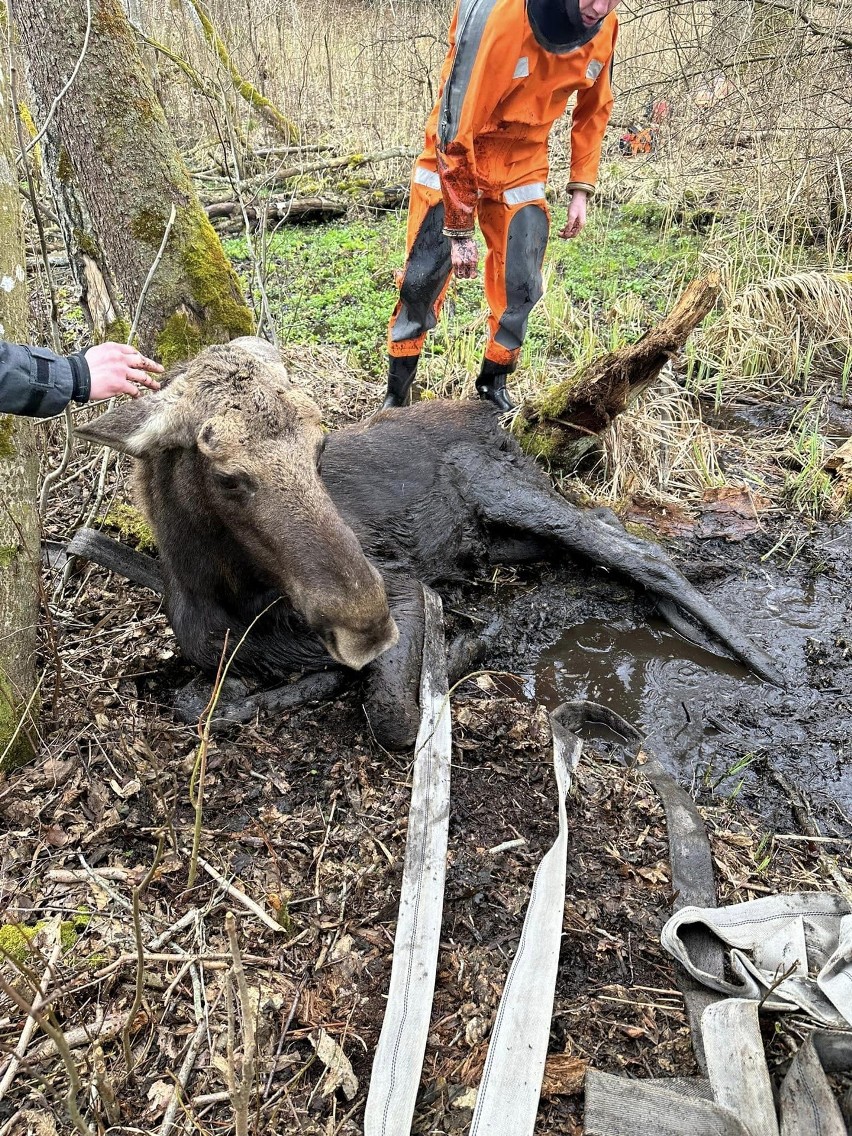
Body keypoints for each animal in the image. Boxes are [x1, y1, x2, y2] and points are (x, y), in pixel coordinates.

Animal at [74, 336, 781, 745]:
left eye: (319, 447)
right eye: (226, 473)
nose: (364, 623)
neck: (224, 596)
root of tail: (499, 417)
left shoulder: (406, 589)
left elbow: (395, 713)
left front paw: (465, 642)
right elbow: (207, 707)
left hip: (501, 491)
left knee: (643, 551)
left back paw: (761, 662)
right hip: (500, 539)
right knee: (606, 533)